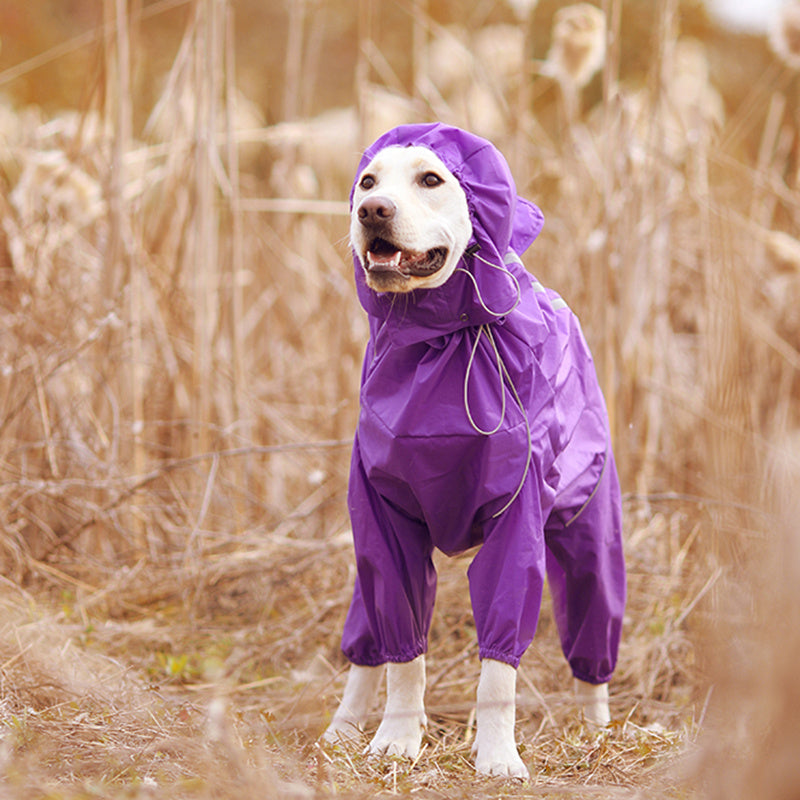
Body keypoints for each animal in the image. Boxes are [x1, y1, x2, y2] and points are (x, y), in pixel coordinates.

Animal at [322, 126, 628, 780]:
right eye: (368, 181)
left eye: (431, 179)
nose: (371, 211)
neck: (440, 344)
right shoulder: (384, 521)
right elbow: (404, 657)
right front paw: (395, 741)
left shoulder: (518, 522)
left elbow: (497, 672)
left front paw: (496, 756)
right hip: (367, 566)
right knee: (367, 647)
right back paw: (342, 729)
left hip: (591, 530)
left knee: (593, 640)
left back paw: (596, 733)